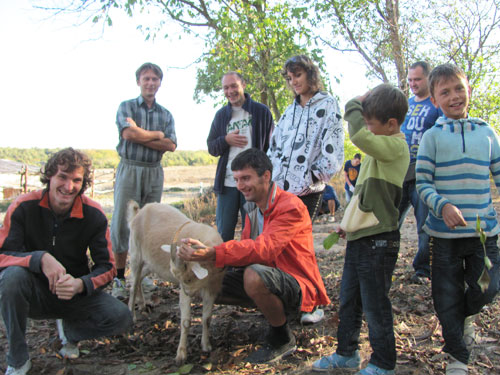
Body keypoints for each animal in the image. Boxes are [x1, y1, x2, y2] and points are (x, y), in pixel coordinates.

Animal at [126, 201, 226, 366]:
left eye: (189, 279)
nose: (188, 292)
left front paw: (206, 346)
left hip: (150, 263)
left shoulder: (212, 288)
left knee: (139, 278)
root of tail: (139, 212)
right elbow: (186, 321)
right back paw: (132, 316)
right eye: (182, 279)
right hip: (135, 254)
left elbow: (207, 318)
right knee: (133, 283)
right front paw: (181, 355)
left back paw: (142, 304)